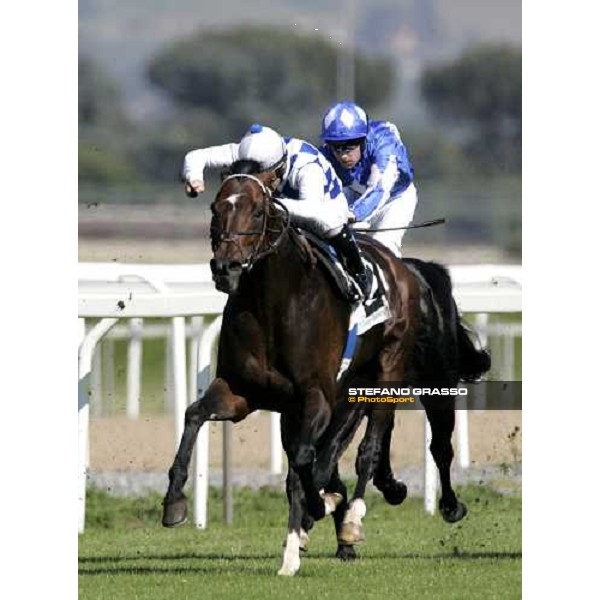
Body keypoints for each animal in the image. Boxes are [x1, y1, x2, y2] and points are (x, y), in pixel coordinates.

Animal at [162, 161, 490, 576]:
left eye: (258, 211)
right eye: (215, 208)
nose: (226, 267)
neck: (274, 304)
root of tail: (405, 267)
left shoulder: (315, 397)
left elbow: (305, 461)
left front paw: (319, 508)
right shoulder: (241, 392)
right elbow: (194, 416)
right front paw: (174, 501)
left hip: (407, 375)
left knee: (411, 445)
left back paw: (415, 510)